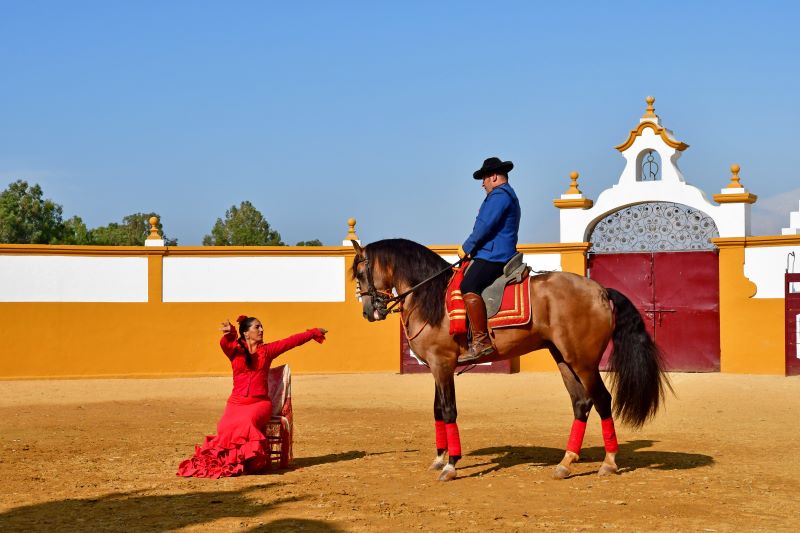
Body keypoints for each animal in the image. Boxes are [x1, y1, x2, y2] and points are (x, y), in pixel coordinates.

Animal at [350, 239, 668, 480]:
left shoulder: (442, 364)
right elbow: (437, 410)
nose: (368, 311)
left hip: (584, 362)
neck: (432, 298)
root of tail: (601, 290)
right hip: (563, 359)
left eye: (362, 272)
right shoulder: (436, 368)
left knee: (602, 400)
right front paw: (440, 458)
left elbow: (449, 410)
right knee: (581, 403)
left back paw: (609, 462)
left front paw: (451, 464)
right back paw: (566, 462)